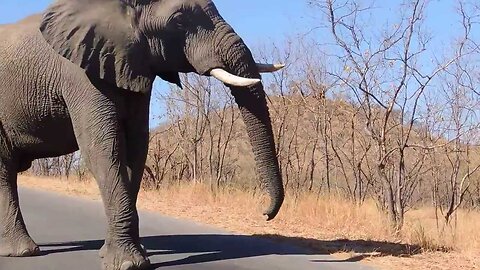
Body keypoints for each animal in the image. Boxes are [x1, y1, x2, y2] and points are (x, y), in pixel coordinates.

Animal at [0, 0, 284, 268]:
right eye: (179, 21)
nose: (264, 214)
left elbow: (135, 147)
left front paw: (122, 254)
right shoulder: (80, 75)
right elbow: (102, 148)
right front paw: (129, 264)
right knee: (5, 171)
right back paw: (24, 251)